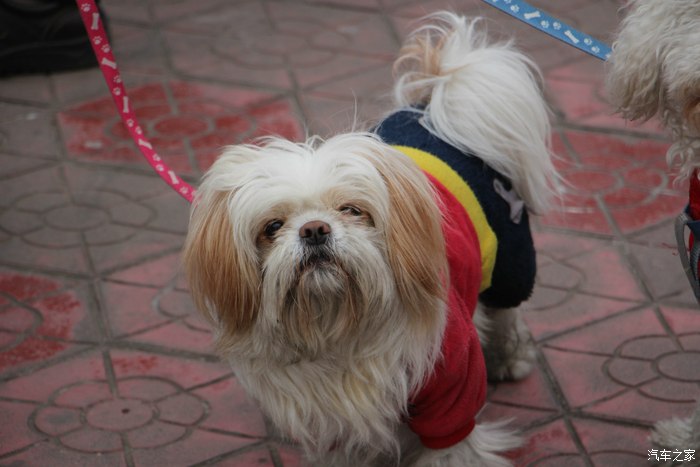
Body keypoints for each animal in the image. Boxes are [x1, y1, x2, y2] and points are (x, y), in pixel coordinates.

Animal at [183, 12, 557, 467]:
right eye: (272, 227)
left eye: (351, 210)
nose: (314, 229)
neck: (339, 329)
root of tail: (434, 108)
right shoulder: (328, 419)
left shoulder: (451, 384)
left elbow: (451, 446)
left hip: (511, 263)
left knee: (507, 312)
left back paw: (512, 356)